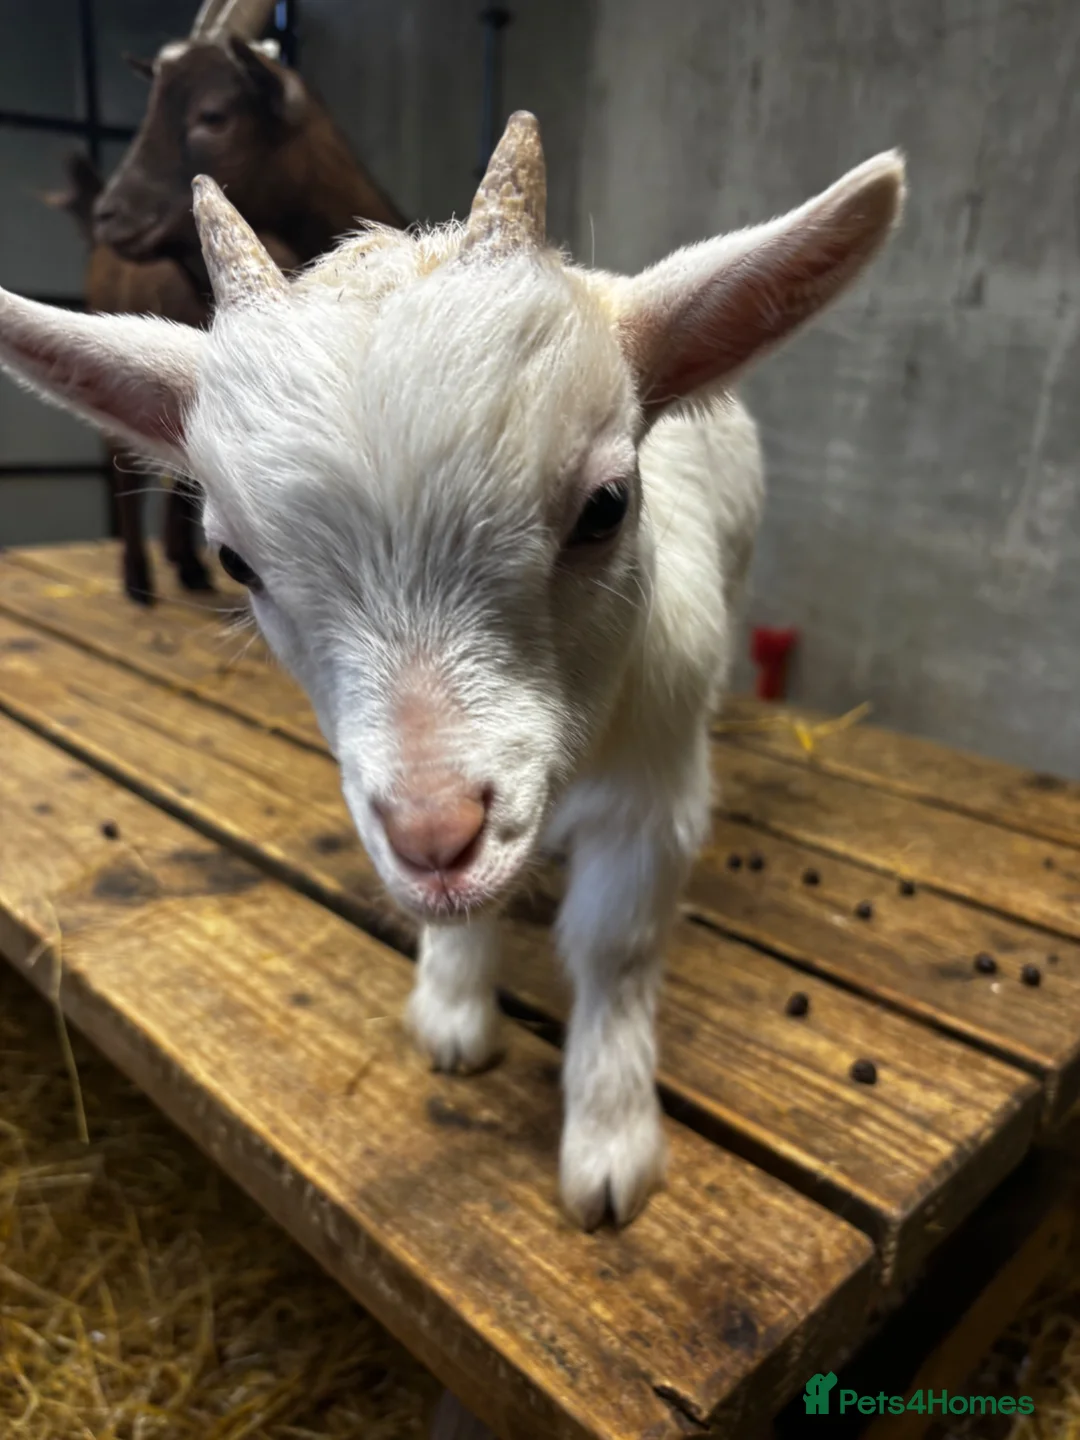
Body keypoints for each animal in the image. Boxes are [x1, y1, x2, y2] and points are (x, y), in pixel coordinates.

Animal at [0, 114, 905, 1228]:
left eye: (607, 505)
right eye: (235, 560)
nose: (436, 835)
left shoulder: (654, 797)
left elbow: (615, 946)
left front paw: (611, 1142)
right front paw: (451, 1007)